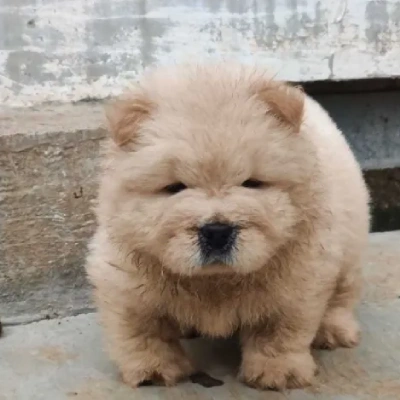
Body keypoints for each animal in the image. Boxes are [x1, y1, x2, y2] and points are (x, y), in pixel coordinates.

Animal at [86, 62, 370, 390]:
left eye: (252, 183)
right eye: (174, 188)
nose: (217, 232)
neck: (216, 282)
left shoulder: (299, 276)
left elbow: (279, 329)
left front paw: (277, 373)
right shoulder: (125, 278)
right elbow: (141, 330)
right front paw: (154, 370)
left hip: (350, 248)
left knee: (342, 296)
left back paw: (333, 332)